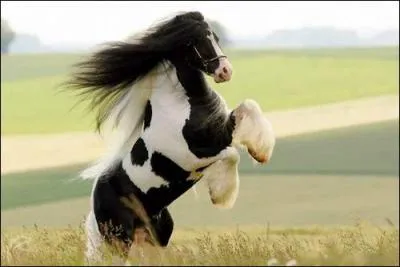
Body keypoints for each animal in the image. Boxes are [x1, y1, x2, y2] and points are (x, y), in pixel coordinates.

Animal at [66, 11, 276, 266]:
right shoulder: (190, 156)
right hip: (119, 239)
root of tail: (94, 202)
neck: (182, 105)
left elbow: (249, 106)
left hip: (156, 234)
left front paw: (261, 152)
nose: (225, 71)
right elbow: (232, 154)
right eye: (195, 41)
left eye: (215, 37)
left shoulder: (220, 133)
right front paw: (219, 195)